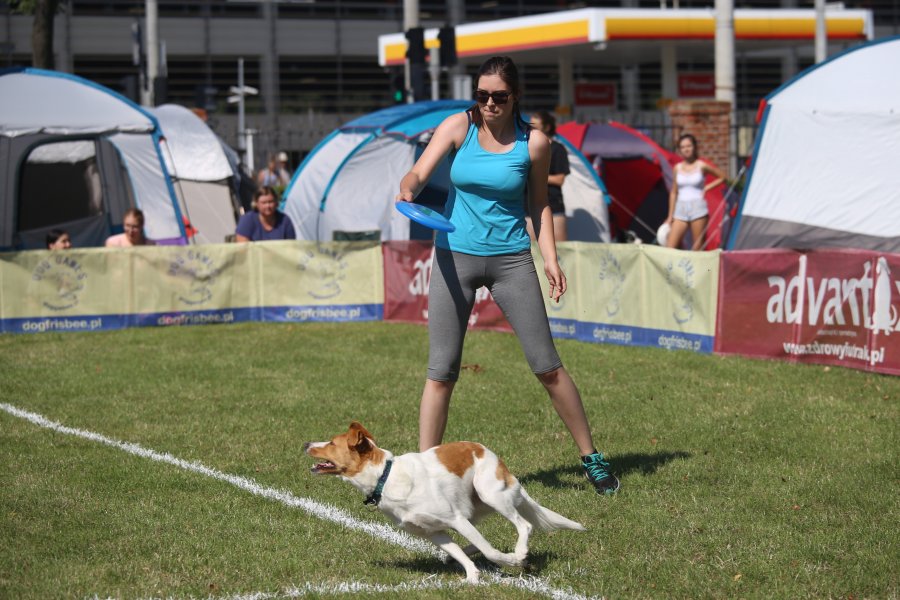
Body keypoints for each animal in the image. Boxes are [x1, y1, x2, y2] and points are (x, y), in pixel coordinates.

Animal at [304, 422, 584, 580]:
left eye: (332, 442)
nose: (306, 443)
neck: (385, 475)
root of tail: (489, 452)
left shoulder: (455, 519)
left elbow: (490, 551)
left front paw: (511, 561)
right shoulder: (433, 531)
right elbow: (459, 551)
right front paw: (472, 576)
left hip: (489, 493)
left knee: (524, 525)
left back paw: (520, 551)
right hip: (474, 507)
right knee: (474, 540)